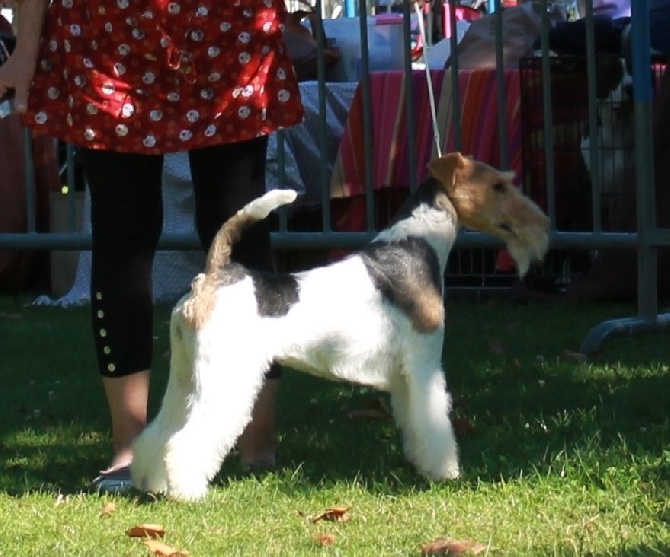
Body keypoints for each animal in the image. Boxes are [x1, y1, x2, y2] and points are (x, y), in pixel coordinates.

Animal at [131, 151, 552, 500]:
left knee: (158, 432)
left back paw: (152, 481)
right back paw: (189, 492)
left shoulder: (403, 377)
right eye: (498, 186)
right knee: (184, 440)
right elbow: (435, 421)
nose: (544, 223)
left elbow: (413, 423)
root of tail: (214, 274)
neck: (416, 246)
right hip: (223, 378)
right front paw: (445, 472)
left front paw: (420, 464)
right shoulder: (425, 364)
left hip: (185, 375)